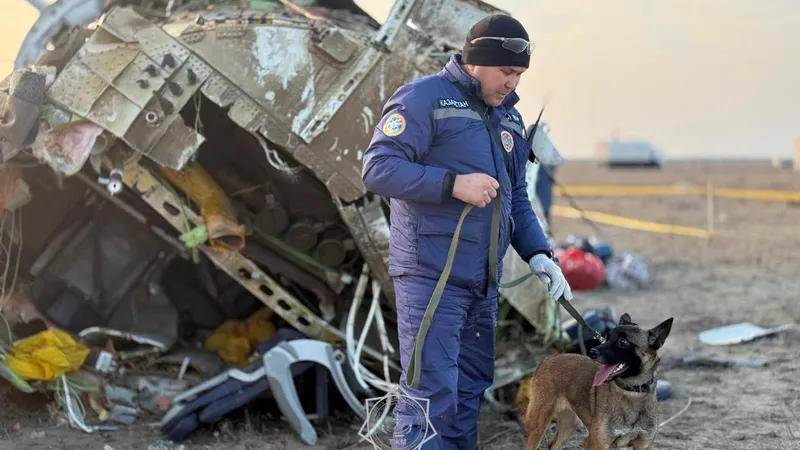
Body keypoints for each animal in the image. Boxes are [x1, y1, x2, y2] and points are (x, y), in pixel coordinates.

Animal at [520, 312, 672, 450]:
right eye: (607, 338)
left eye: (623, 342)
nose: (592, 352)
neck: (632, 393)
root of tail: (548, 359)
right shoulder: (595, 443)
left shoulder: (643, 445)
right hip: (538, 426)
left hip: (570, 424)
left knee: (553, 445)